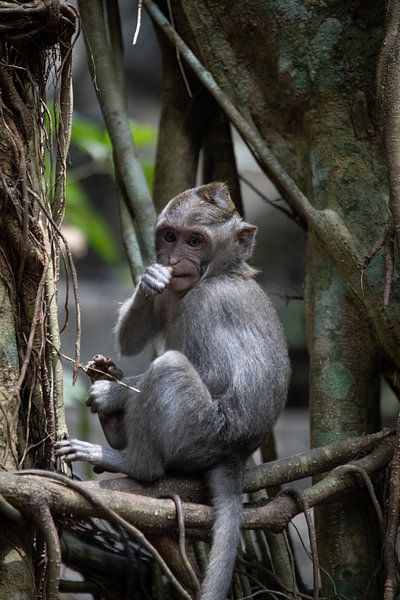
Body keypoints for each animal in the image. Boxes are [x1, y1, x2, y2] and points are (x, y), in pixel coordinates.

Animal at [54, 183, 290, 600]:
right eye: (169, 236)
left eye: (194, 241)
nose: (176, 259)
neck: (220, 272)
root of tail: (235, 455)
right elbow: (132, 341)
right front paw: (149, 280)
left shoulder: (209, 303)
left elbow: (216, 377)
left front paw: (113, 395)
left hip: (201, 434)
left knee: (171, 369)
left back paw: (128, 459)